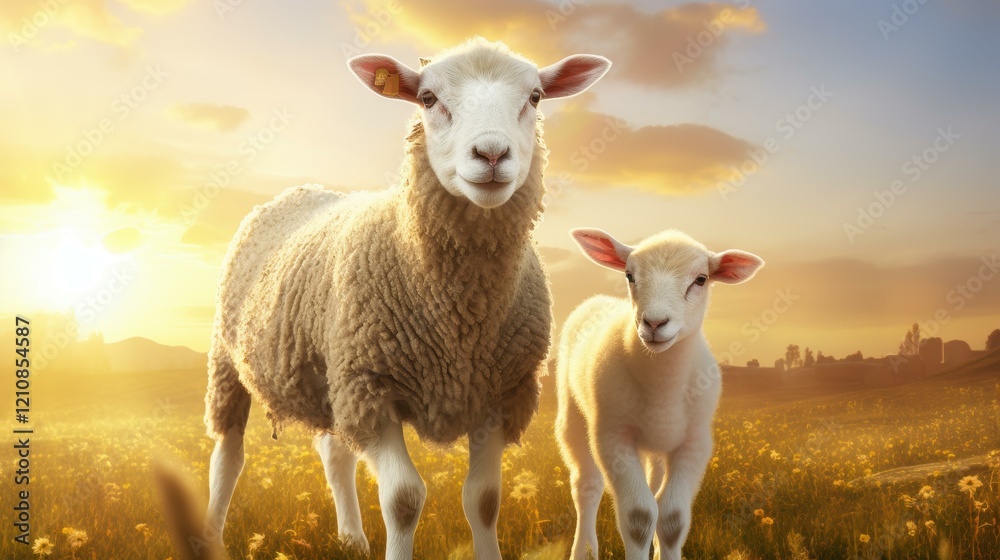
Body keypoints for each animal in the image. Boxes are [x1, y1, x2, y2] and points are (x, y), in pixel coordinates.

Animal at [202, 38, 611, 560]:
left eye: (536, 97)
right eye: (428, 98)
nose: (491, 153)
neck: (462, 317)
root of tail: (300, 190)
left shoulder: (499, 393)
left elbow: (484, 500)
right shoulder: (373, 387)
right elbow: (403, 499)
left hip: (332, 373)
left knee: (335, 455)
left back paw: (352, 539)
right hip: (230, 359)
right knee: (228, 454)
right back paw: (210, 534)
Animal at [556, 228, 764, 560]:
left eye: (701, 279)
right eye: (629, 275)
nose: (654, 323)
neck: (662, 388)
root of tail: (596, 300)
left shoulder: (694, 443)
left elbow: (672, 519)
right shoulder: (613, 437)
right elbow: (639, 516)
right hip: (572, 414)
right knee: (586, 485)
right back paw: (584, 550)